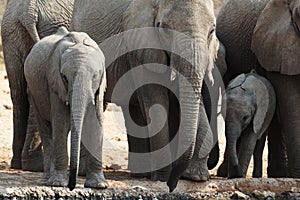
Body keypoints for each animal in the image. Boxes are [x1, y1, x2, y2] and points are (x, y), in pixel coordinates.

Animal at [1, 0, 74, 171]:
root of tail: (28, 11)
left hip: (10, 31)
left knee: (18, 92)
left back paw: (18, 163)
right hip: (48, 27)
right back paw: (34, 166)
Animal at [24, 27, 108, 191]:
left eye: (95, 76)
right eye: (65, 77)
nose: (71, 186)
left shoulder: (100, 87)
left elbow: (97, 122)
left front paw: (99, 185)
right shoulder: (54, 81)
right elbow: (60, 122)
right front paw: (57, 184)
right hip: (33, 91)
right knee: (46, 128)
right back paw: (47, 178)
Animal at [69, 0, 220, 191]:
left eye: (212, 31)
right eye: (165, 29)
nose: (172, 185)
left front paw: (196, 177)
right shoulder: (142, 48)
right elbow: (156, 105)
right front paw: (162, 177)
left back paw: (140, 174)